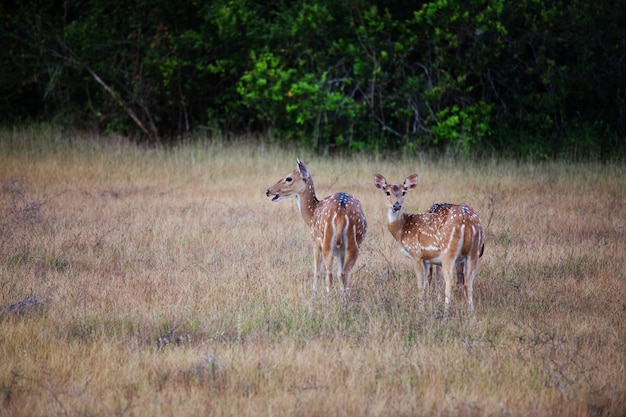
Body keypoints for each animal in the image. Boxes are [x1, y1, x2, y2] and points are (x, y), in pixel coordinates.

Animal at [264, 159, 366, 296]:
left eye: (289, 178)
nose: (268, 191)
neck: (311, 215)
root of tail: (341, 212)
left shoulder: (315, 242)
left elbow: (317, 271)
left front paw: (314, 293)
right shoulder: (340, 251)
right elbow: (339, 273)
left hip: (326, 242)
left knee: (329, 273)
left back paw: (327, 296)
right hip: (354, 245)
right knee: (344, 273)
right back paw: (344, 298)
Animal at [370, 173, 482, 312]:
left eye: (404, 192)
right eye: (387, 192)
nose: (396, 206)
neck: (402, 230)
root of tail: (468, 221)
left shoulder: (416, 254)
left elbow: (420, 284)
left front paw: (420, 309)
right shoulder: (426, 259)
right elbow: (425, 282)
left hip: (449, 251)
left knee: (450, 282)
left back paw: (445, 312)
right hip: (474, 252)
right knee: (468, 283)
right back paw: (471, 313)